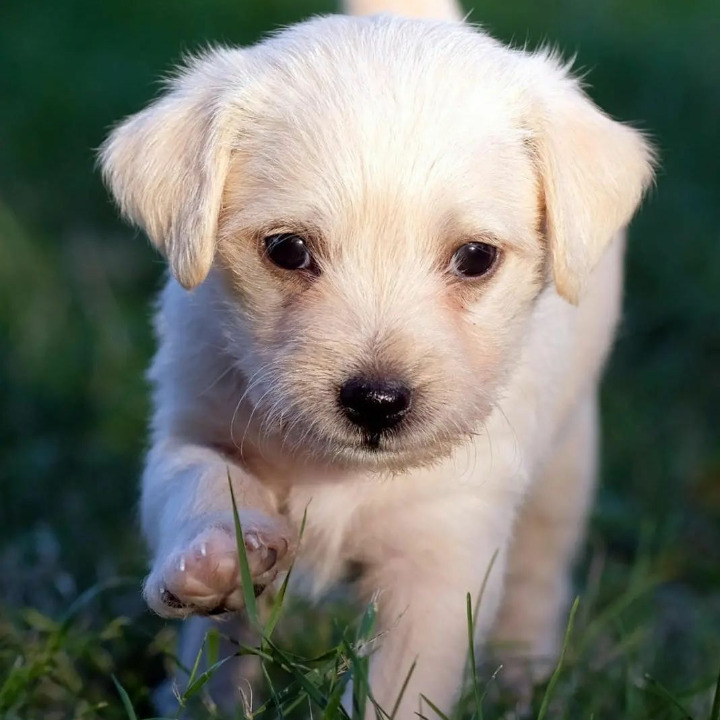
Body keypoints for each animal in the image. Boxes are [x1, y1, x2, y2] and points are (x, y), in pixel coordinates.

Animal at [100, 0, 652, 716]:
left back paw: (525, 675)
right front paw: (218, 557)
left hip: (566, 468)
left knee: (539, 575)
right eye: (287, 249)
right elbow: (200, 482)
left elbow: (399, 687)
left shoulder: (440, 557)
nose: (377, 402)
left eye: (476, 258)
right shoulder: (193, 425)